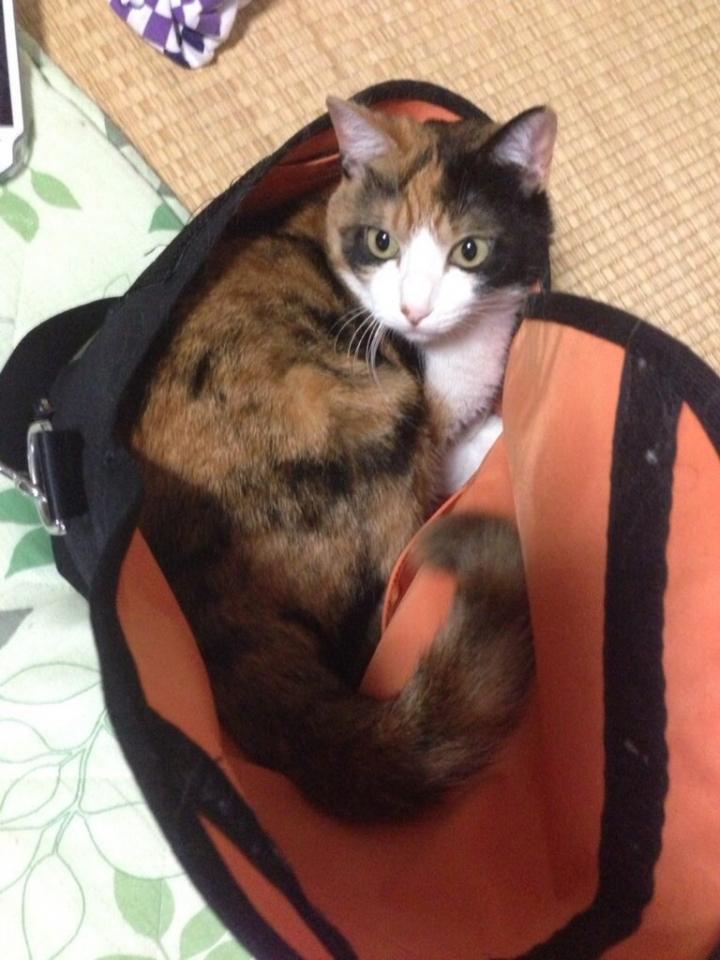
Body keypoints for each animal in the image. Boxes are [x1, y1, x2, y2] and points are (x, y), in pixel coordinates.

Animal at [125, 96, 556, 821]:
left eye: (469, 250)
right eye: (382, 244)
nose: (413, 310)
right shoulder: (432, 428)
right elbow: (467, 445)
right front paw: (499, 433)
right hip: (377, 410)